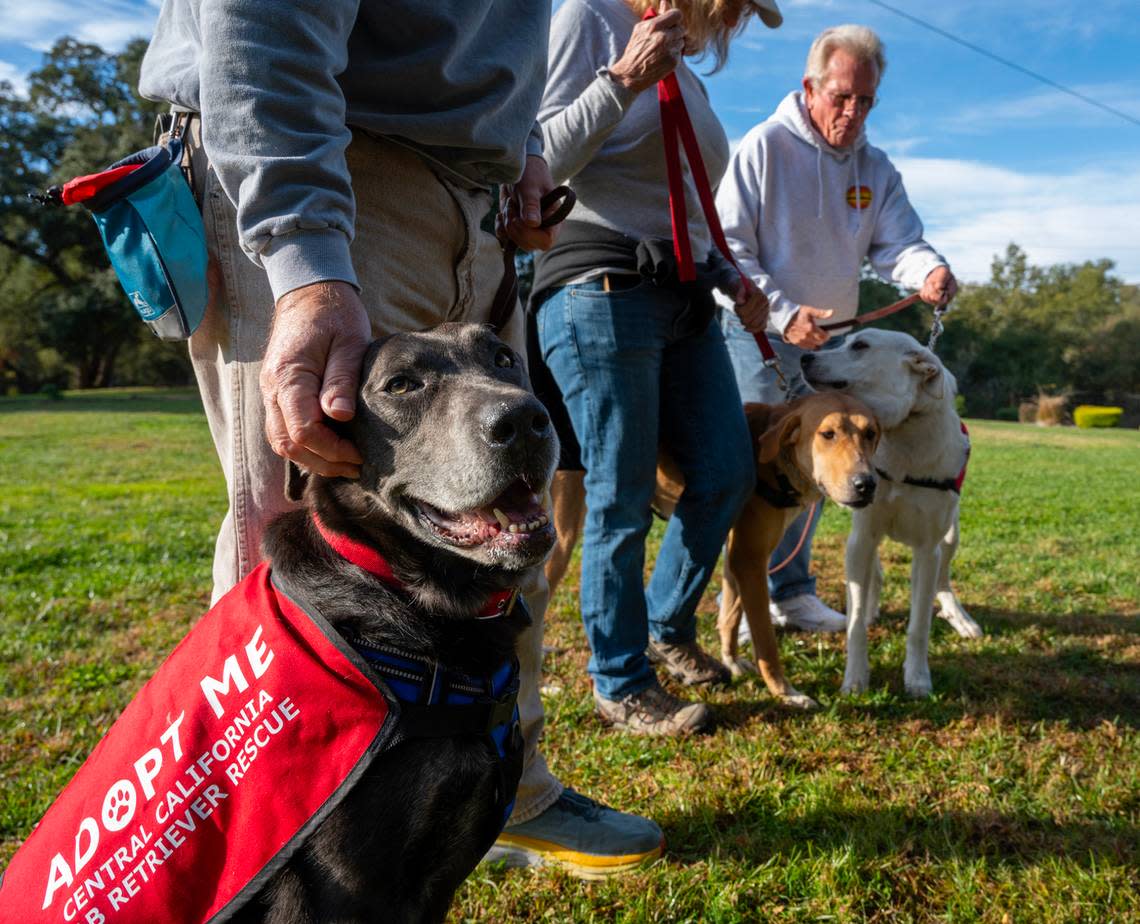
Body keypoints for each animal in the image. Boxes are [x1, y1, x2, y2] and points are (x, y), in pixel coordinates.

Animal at [802, 328, 980, 697]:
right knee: (873, 575)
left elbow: (919, 625)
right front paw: (855, 678)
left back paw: (960, 618)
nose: (804, 356)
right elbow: (855, 623)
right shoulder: (862, 534)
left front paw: (918, 678)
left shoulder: (927, 548)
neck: (903, 434)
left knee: (943, 581)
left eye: (859, 346)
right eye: (847, 341)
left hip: (951, 535)